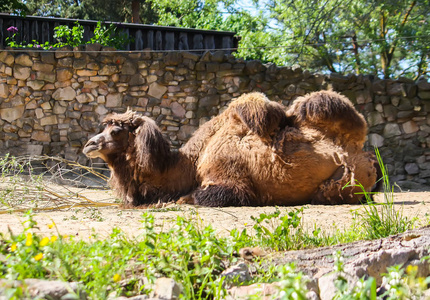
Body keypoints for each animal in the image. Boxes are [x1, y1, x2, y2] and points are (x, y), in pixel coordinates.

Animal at [84, 91, 380, 206]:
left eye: (116, 131)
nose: (89, 144)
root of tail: (362, 151)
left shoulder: (228, 181)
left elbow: (198, 197)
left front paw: (183, 198)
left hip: (343, 183)